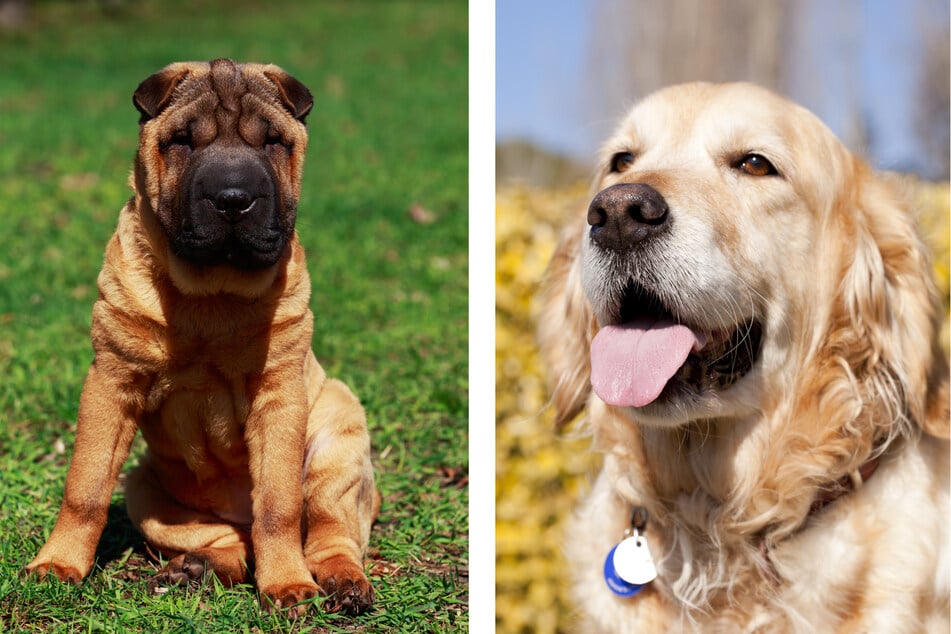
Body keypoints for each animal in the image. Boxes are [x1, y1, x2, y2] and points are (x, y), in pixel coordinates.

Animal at [24, 58, 380, 612]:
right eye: (182, 141)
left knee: (327, 529)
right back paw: (196, 568)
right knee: (230, 541)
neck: (210, 295)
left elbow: (278, 504)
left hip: (338, 441)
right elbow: (84, 487)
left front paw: (288, 586)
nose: (233, 199)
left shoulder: (278, 395)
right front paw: (57, 565)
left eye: (272, 141)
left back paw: (342, 581)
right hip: (144, 490)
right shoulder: (111, 381)